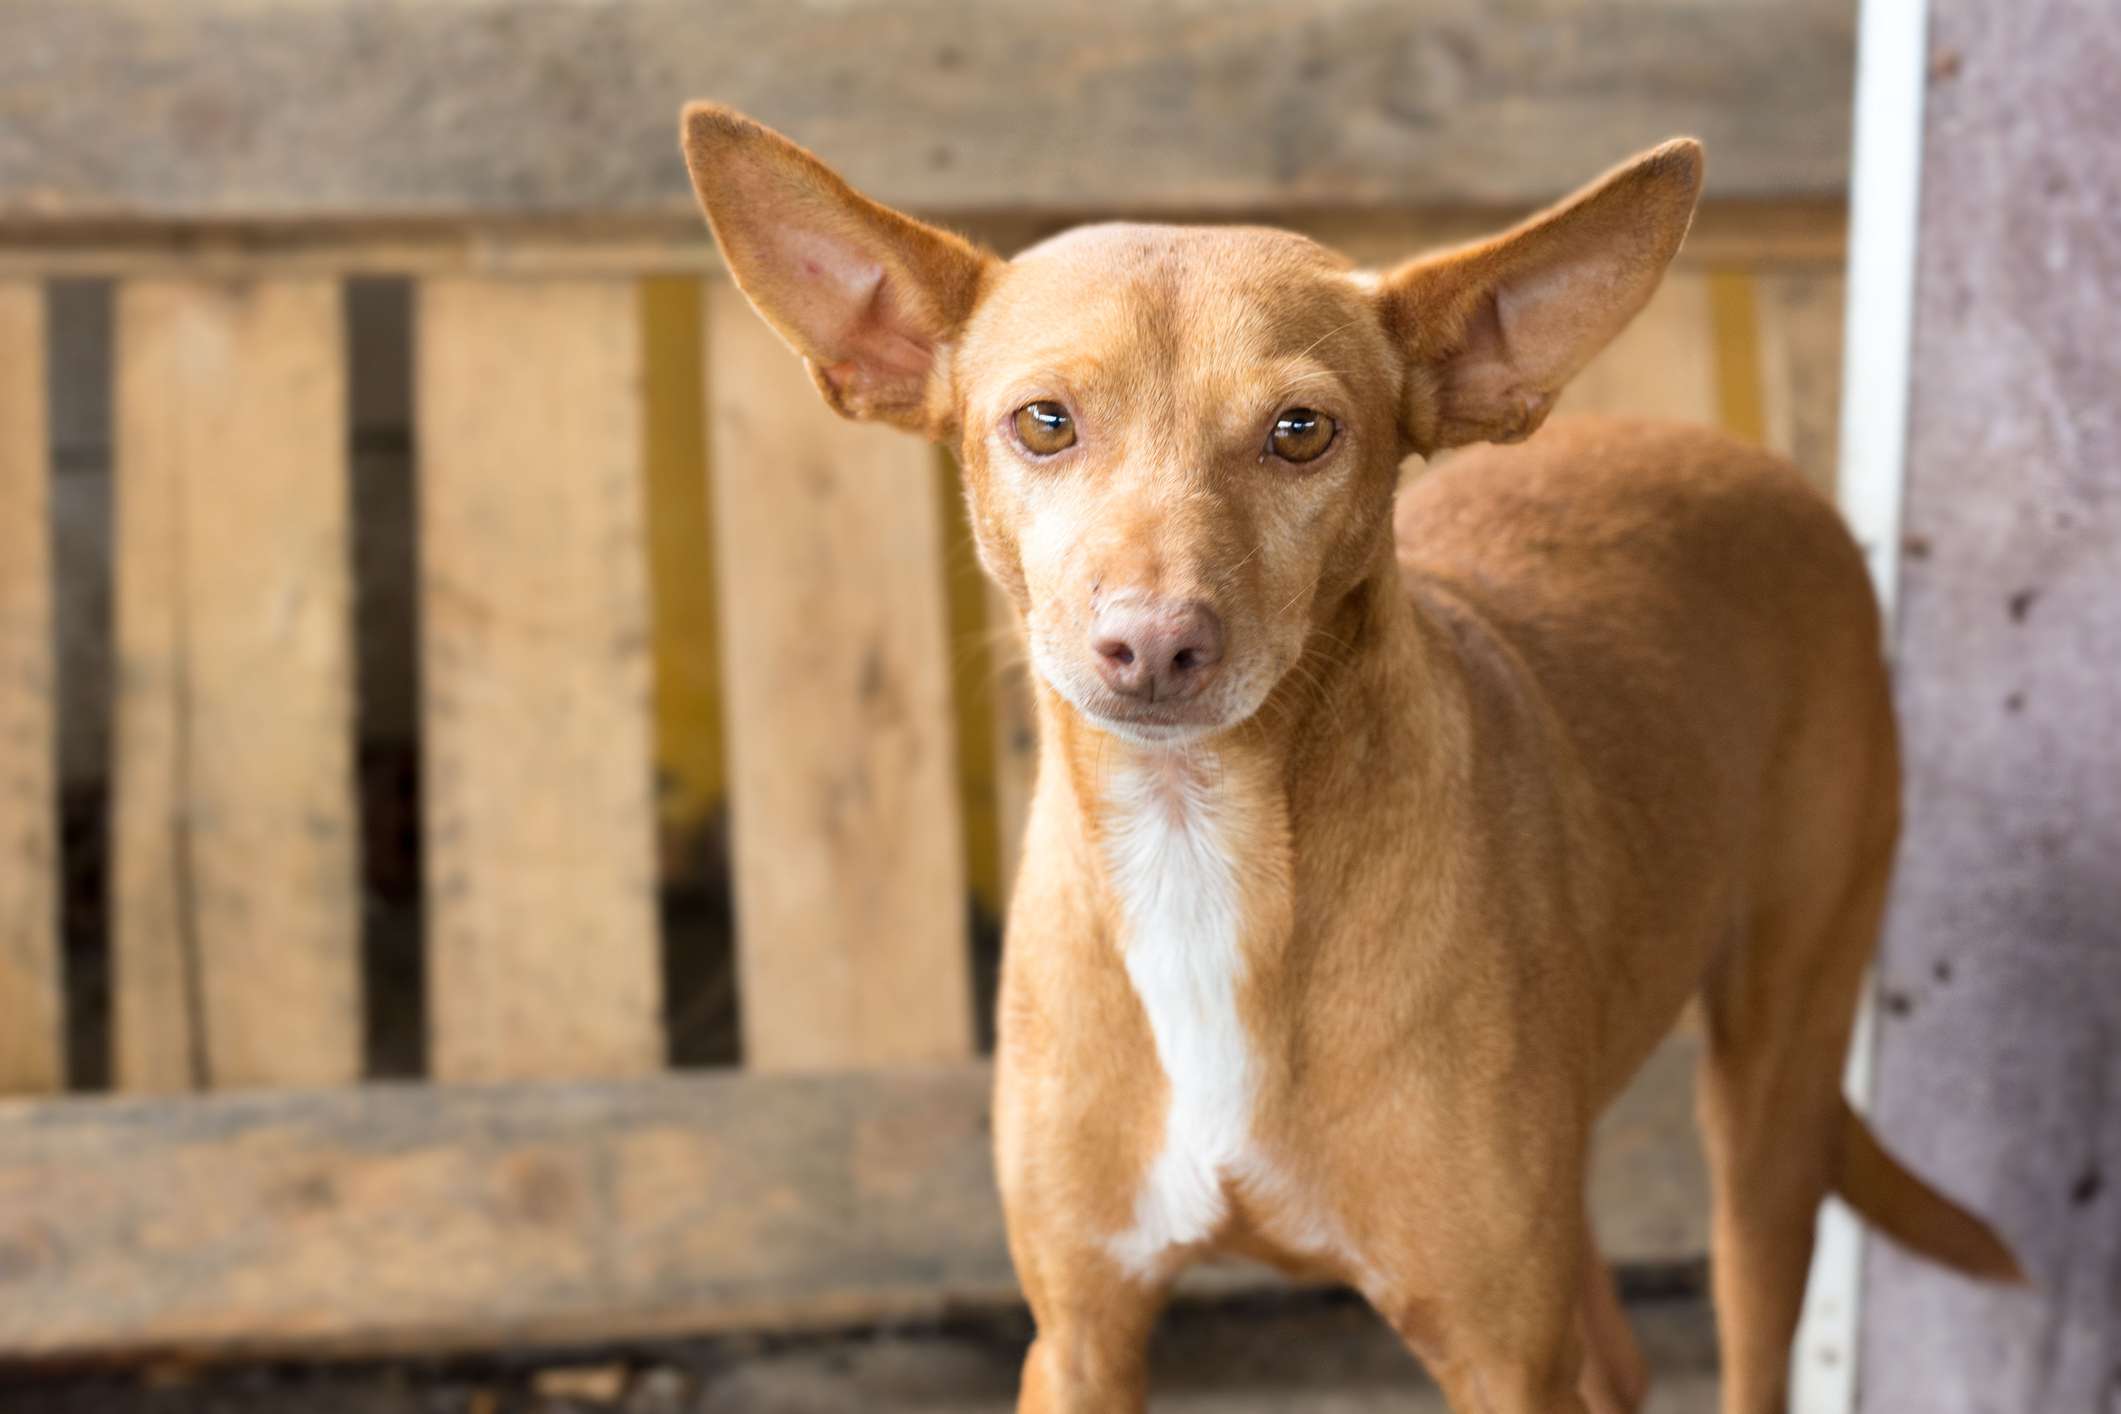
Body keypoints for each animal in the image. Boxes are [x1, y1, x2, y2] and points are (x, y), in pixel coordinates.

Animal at [678, 104, 2019, 1407]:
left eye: (1300, 431)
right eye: (1044, 422)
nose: (1152, 645)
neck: (1195, 850)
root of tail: (1745, 460)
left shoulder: (1500, 1356)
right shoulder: (1080, 1336)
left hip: (1772, 1104)